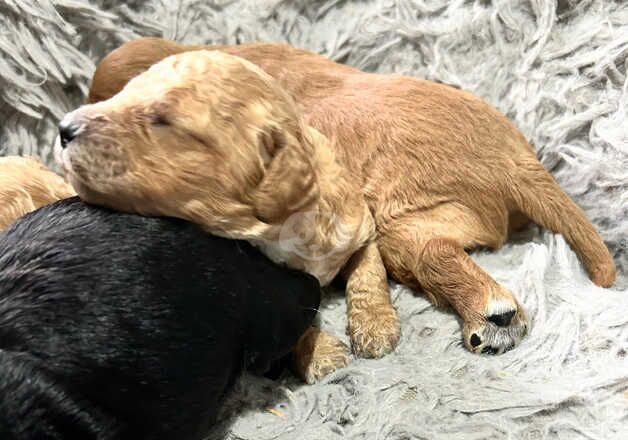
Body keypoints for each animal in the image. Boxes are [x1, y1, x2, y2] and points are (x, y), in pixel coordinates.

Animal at [57, 38, 612, 368]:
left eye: (160, 124)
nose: (64, 131)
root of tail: (514, 160)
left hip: (399, 218)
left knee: (435, 254)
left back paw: (492, 318)